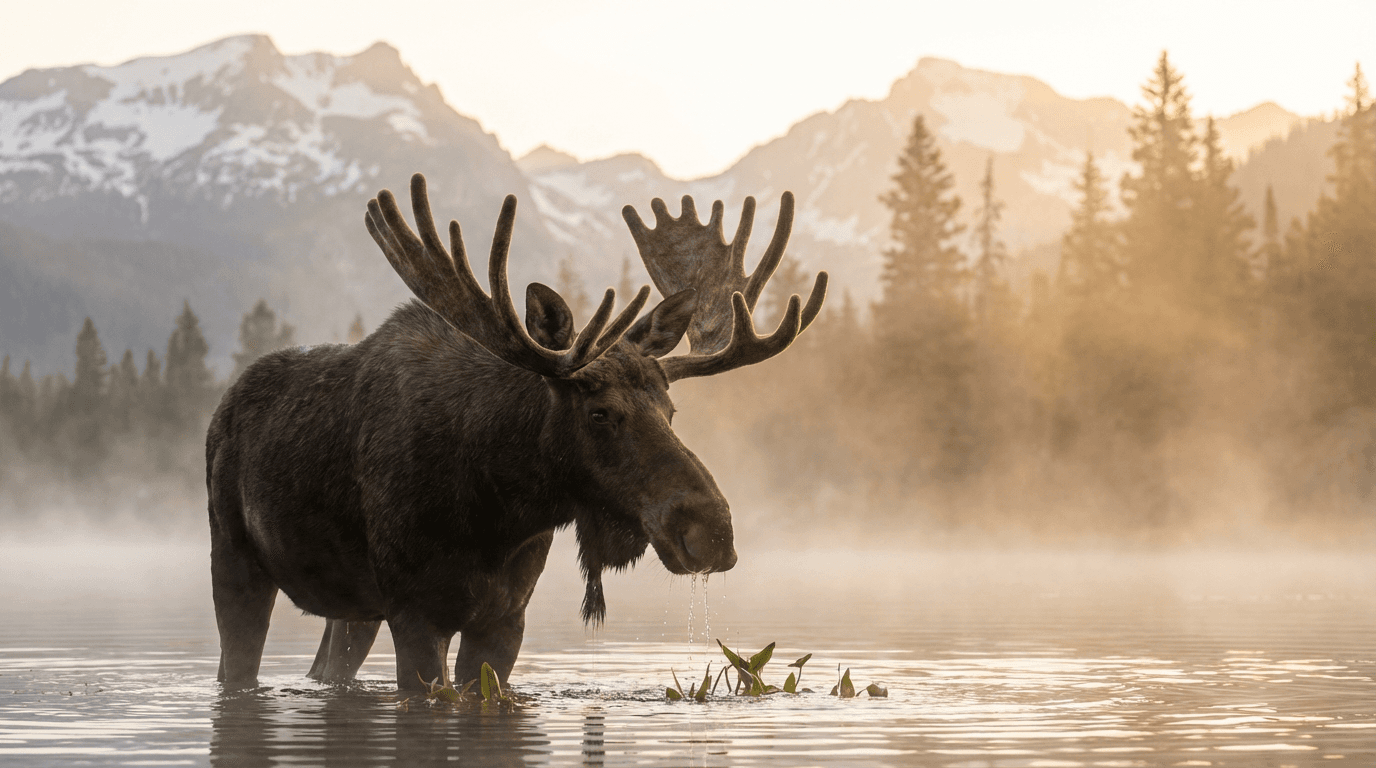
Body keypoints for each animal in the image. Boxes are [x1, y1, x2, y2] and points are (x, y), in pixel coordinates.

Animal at [206, 173, 826, 691]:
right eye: (599, 412)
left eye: (671, 411)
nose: (712, 530)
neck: (497, 505)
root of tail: (224, 405)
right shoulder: (413, 611)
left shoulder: (505, 619)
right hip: (235, 560)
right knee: (236, 663)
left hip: (353, 608)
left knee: (328, 667)